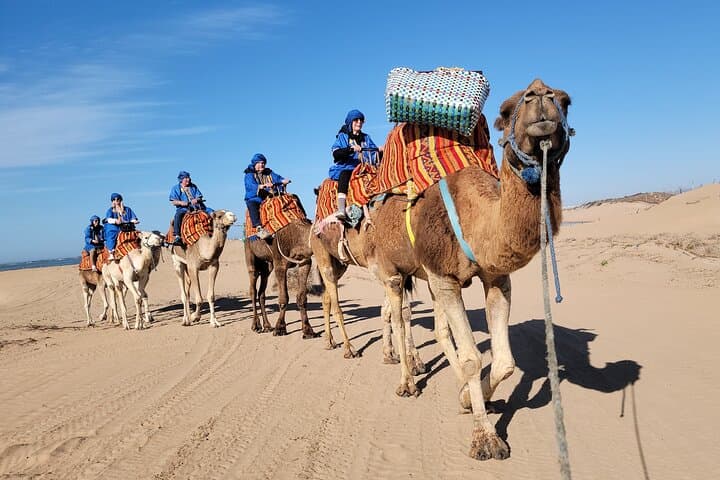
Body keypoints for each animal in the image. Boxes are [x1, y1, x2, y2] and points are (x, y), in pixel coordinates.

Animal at [365, 79, 573, 460]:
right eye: (505, 111)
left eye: (566, 101)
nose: (540, 96)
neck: (477, 218)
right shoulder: (444, 278)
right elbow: (473, 359)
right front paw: (485, 438)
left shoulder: (493, 277)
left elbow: (504, 361)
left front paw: (467, 398)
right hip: (392, 270)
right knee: (399, 319)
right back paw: (407, 382)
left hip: (426, 277)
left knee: (437, 330)